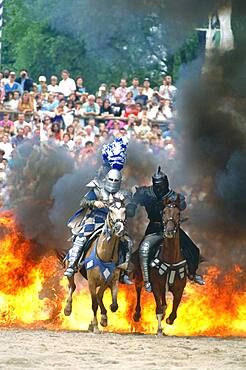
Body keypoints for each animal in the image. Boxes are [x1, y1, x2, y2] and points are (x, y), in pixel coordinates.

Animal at [63, 192, 127, 334]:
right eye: (111, 210)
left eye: (124, 211)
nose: (119, 229)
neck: (105, 255)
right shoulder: (92, 282)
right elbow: (94, 303)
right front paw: (96, 326)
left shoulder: (110, 280)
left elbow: (111, 303)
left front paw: (102, 319)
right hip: (70, 269)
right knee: (72, 286)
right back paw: (68, 309)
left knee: (98, 296)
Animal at [133, 198, 186, 336]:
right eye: (164, 212)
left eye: (178, 213)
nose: (169, 231)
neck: (170, 259)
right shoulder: (156, 286)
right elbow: (158, 308)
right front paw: (159, 329)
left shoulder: (179, 289)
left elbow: (174, 310)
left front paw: (168, 319)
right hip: (140, 277)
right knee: (139, 290)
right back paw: (137, 314)